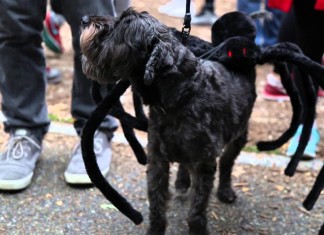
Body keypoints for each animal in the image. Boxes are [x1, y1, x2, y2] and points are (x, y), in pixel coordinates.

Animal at [80, 8, 258, 234]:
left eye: (122, 25)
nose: (84, 19)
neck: (183, 94)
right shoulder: (157, 159)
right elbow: (156, 200)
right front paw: (155, 229)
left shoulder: (204, 164)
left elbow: (197, 207)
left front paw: (198, 229)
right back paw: (182, 182)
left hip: (239, 134)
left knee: (227, 162)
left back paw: (225, 191)